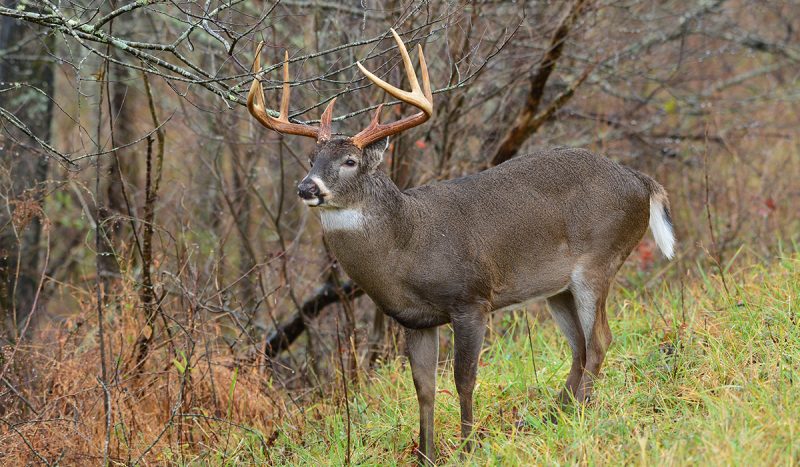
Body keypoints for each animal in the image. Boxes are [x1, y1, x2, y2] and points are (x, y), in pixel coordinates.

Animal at [245, 29, 676, 464]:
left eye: (350, 160)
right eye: (311, 158)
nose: (306, 188)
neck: (408, 242)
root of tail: (642, 182)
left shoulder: (471, 298)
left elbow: (464, 378)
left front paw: (468, 447)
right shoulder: (414, 319)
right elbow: (424, 389)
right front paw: (426, 454)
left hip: (599, 260)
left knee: (600, 340)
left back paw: (578, 414)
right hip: (558, 287)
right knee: (581, 348)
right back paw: (556, 416)